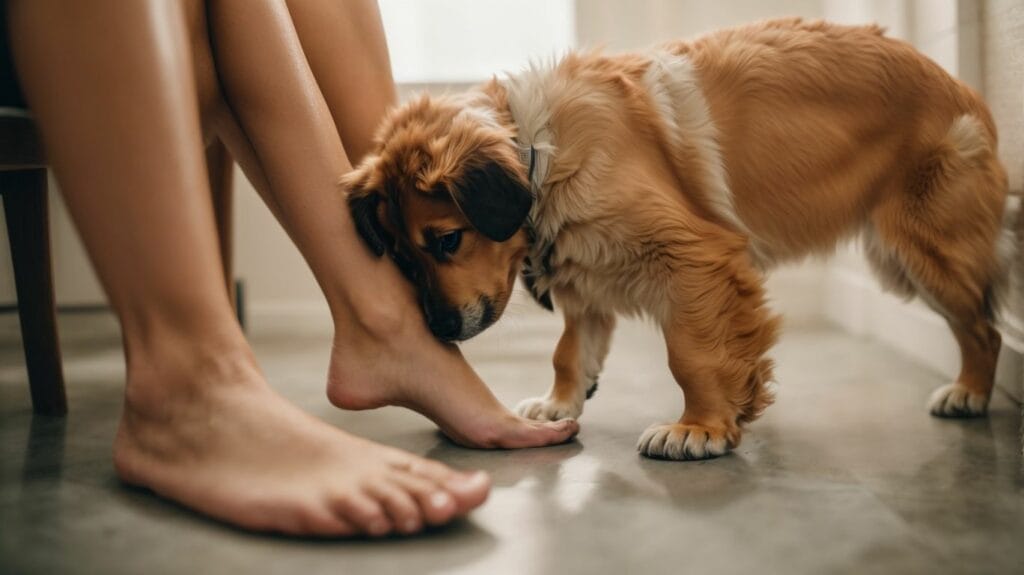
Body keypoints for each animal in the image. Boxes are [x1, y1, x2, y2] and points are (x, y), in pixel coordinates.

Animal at [344, 17, 1007, 460]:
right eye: (401, 255)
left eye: (447, 240)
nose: (439, 330)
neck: (542, 147)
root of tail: (961, 89)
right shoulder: (587, 274)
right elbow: (570, 350)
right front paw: (561, 402)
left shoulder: (695, 259)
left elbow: (692, 354)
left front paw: (702, 428)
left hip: (920, 252)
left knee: (985, 329)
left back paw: (971, 393)